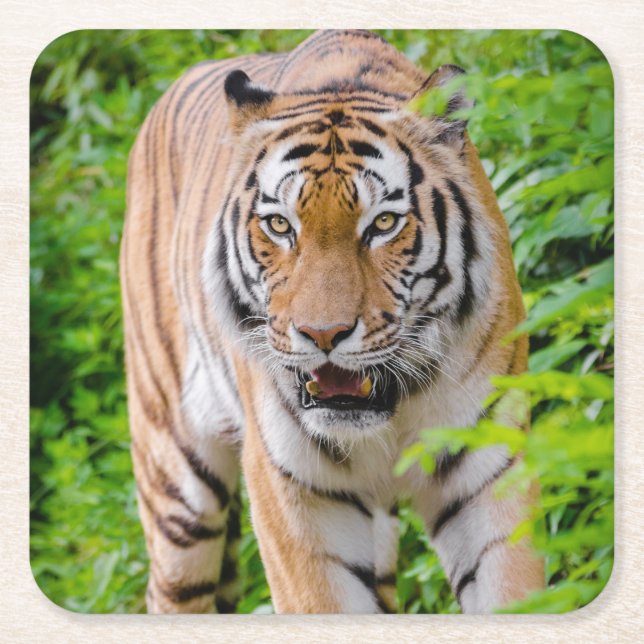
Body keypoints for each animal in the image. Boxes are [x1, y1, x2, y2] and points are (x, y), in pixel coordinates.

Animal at [121, 29, 544, 614]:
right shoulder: (294, 493)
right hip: (175, 483)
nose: (323, 335)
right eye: (280, 226)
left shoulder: (486, 469)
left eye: (383, 223)